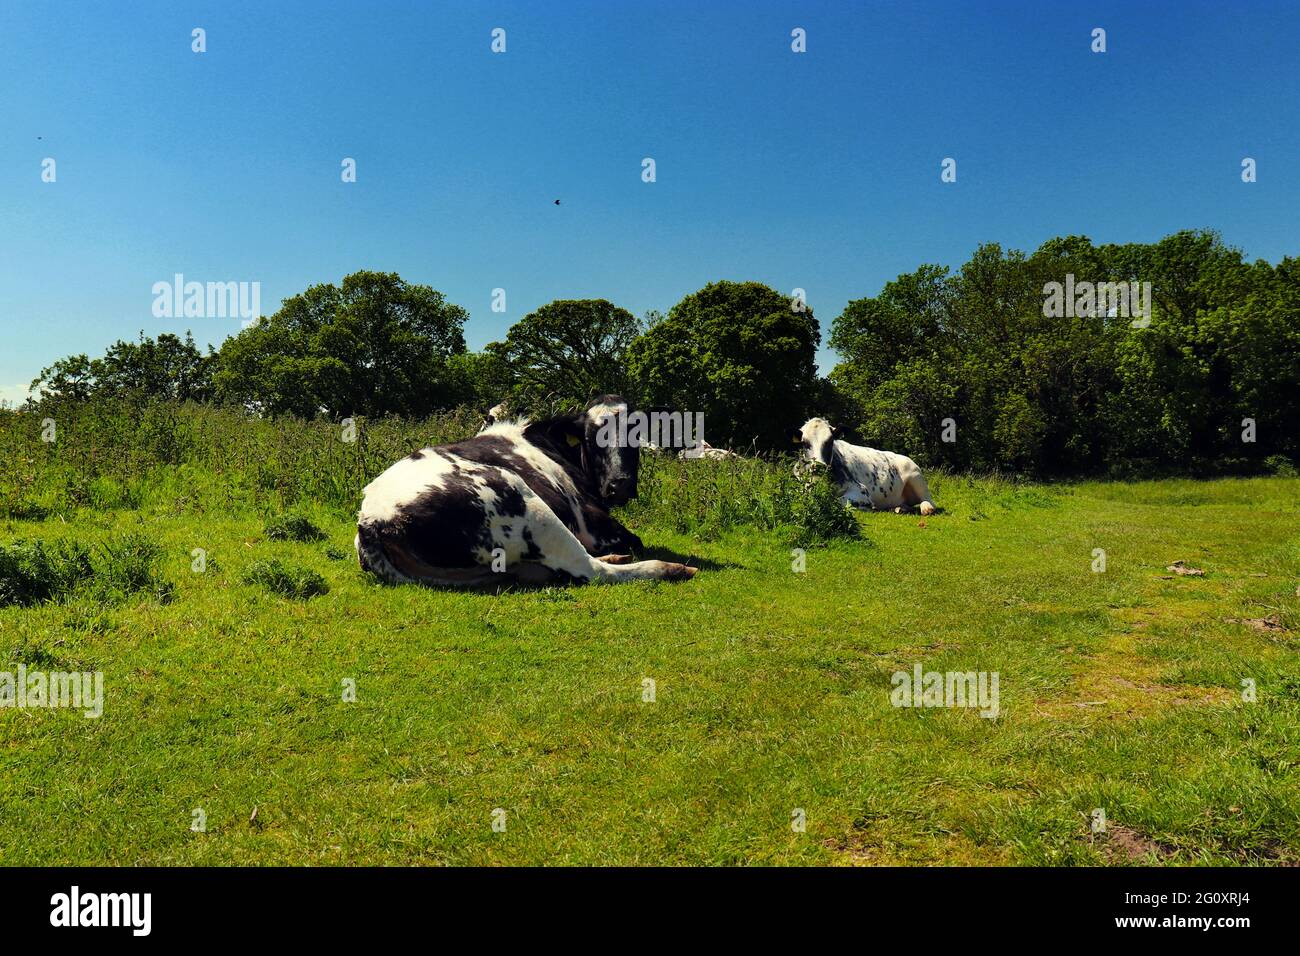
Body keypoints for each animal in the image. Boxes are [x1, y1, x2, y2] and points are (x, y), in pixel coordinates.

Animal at [353, 392, 702, 587]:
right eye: (591, 435)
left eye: (638, 433)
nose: (620, 485)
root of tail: (372, 519)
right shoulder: (594, 524)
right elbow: (634, 539)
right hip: (522, 499)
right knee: (591, 568)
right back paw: (671, 569)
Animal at [780, 418, 935, 515]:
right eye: (804, 443)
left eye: (830, 441)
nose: (818, 467)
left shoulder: (861, 490)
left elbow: (838, 501)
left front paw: (868, 507)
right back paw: (899, 508)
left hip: (916, 477)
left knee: (928, 500)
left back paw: (926, 508)